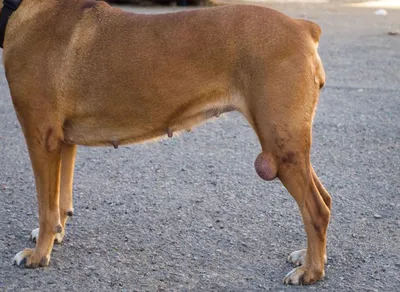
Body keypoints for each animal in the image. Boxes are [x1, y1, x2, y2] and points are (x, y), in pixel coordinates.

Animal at [1, 0, 330, 286]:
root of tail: (303, 27)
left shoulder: (42, 138)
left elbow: (46, 206)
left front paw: (39, 255)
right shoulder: (64, 141)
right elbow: (60, 200)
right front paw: (56, 236)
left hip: (281, 148)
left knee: (315, 209)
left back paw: (311, 271)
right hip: (290, 148)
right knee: (323, 200)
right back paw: (308, 257)